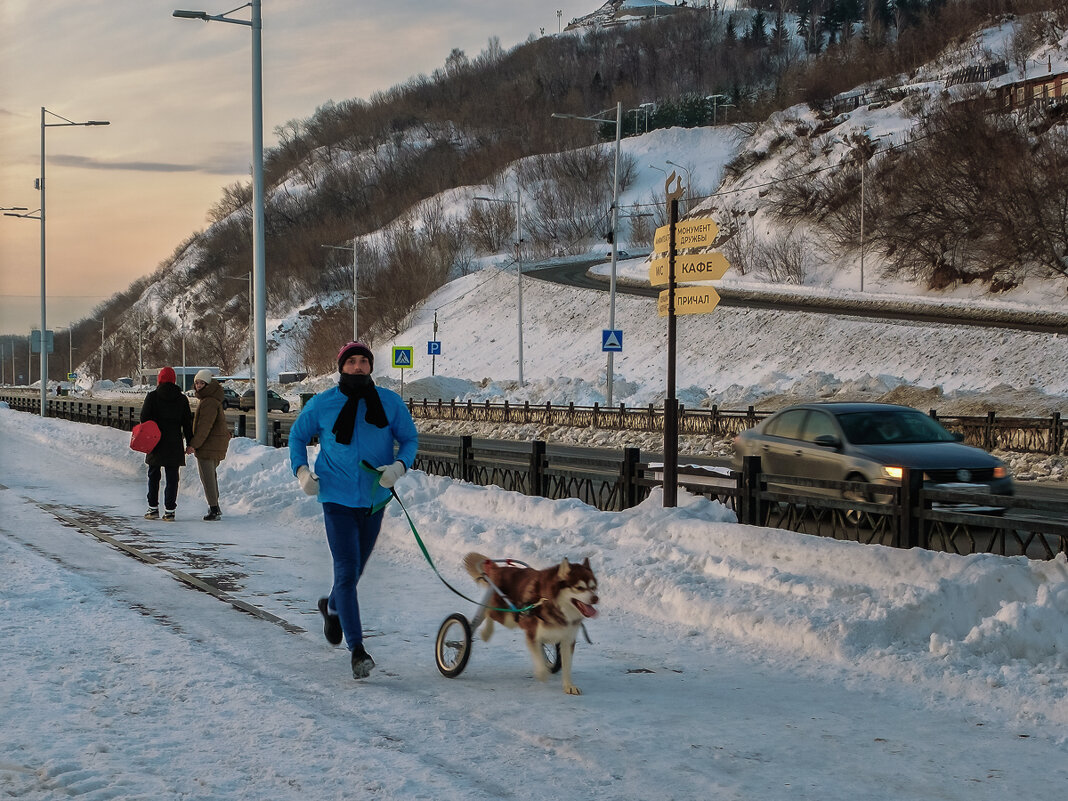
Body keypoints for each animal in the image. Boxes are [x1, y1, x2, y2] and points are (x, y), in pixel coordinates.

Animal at [463, 551, 602, 696]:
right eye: (579, 588)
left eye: (593, 587)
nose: (595, 598)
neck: (556, 606)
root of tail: (500, 569)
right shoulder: (532, 634)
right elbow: (539, 660)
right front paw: (542, 673)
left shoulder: (567, 639)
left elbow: (566, 665)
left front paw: (569, 685)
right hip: (507, 616)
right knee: (488, 612)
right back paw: (486, 632)